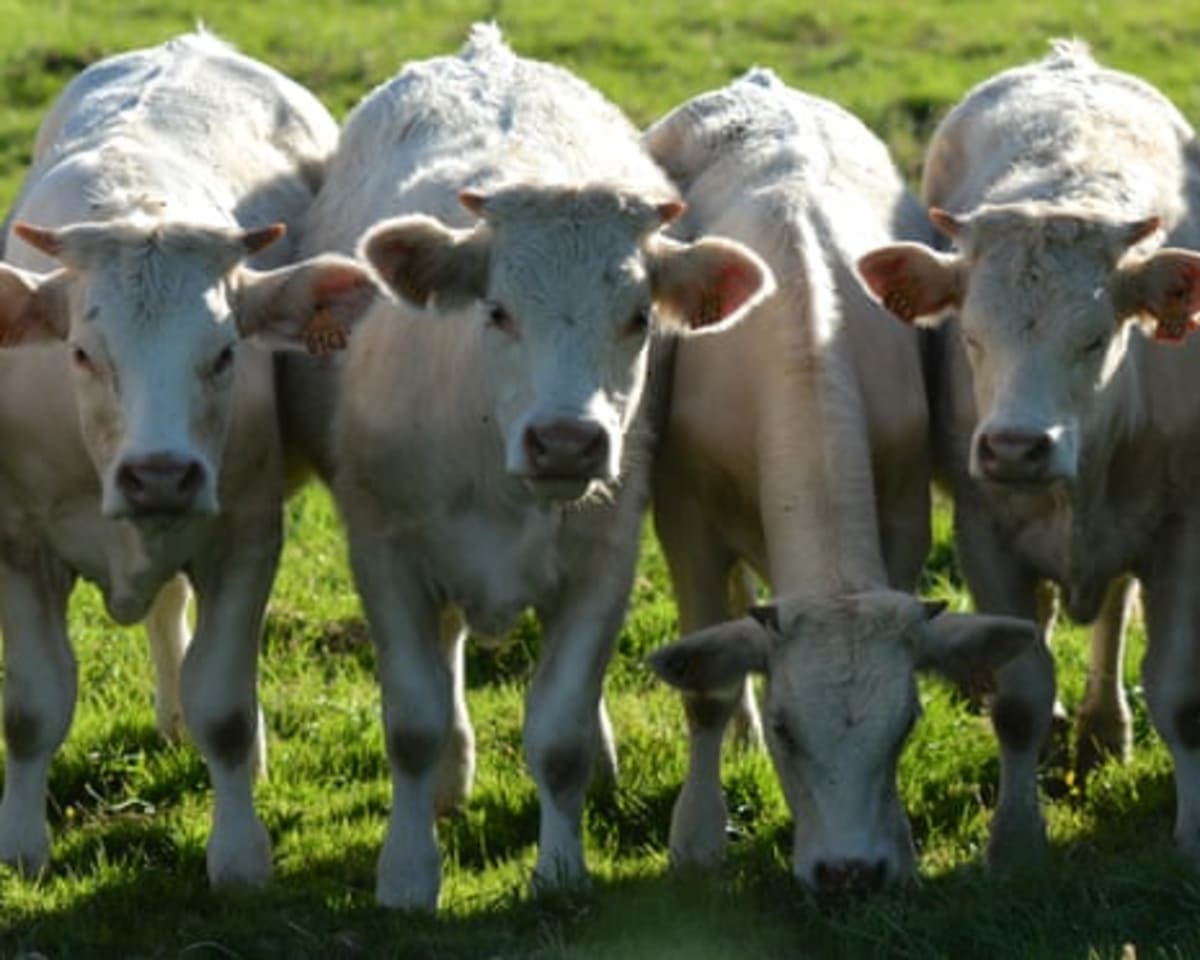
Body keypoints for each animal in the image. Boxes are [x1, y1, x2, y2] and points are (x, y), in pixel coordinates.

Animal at [0, 32, 377, 888]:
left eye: (226, 351)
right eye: (82, 352)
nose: (161, 474)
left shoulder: (245, 536)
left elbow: (225, 709)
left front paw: (239, 851)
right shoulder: (20, 544)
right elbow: (34, 708)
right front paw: (21, 846)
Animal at [280, 23, 774, 910]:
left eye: (638, 316)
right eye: (498, 310)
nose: (567, 441)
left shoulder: (602, 564)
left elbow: (559, 733)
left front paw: (562, 868)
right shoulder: (385, 553)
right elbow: (413, 723)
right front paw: (407, 871)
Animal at [641, 69, 1040, 891]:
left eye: (907, 724)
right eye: (789, 728)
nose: (851, 872)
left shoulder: (904, 513)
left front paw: (903, 848)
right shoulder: (684, 518)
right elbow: (705, 690)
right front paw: (697, 836)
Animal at [858, 40, 1200, 868]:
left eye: (1096, 338)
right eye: (971, 336)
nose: (1015, 447)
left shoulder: (1183, 532)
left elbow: (1179, 692)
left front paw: (1192, 835)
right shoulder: (985, 536)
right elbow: (1020, 696)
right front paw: (1014, 837)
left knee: (1112, 610)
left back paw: (1104, 725)